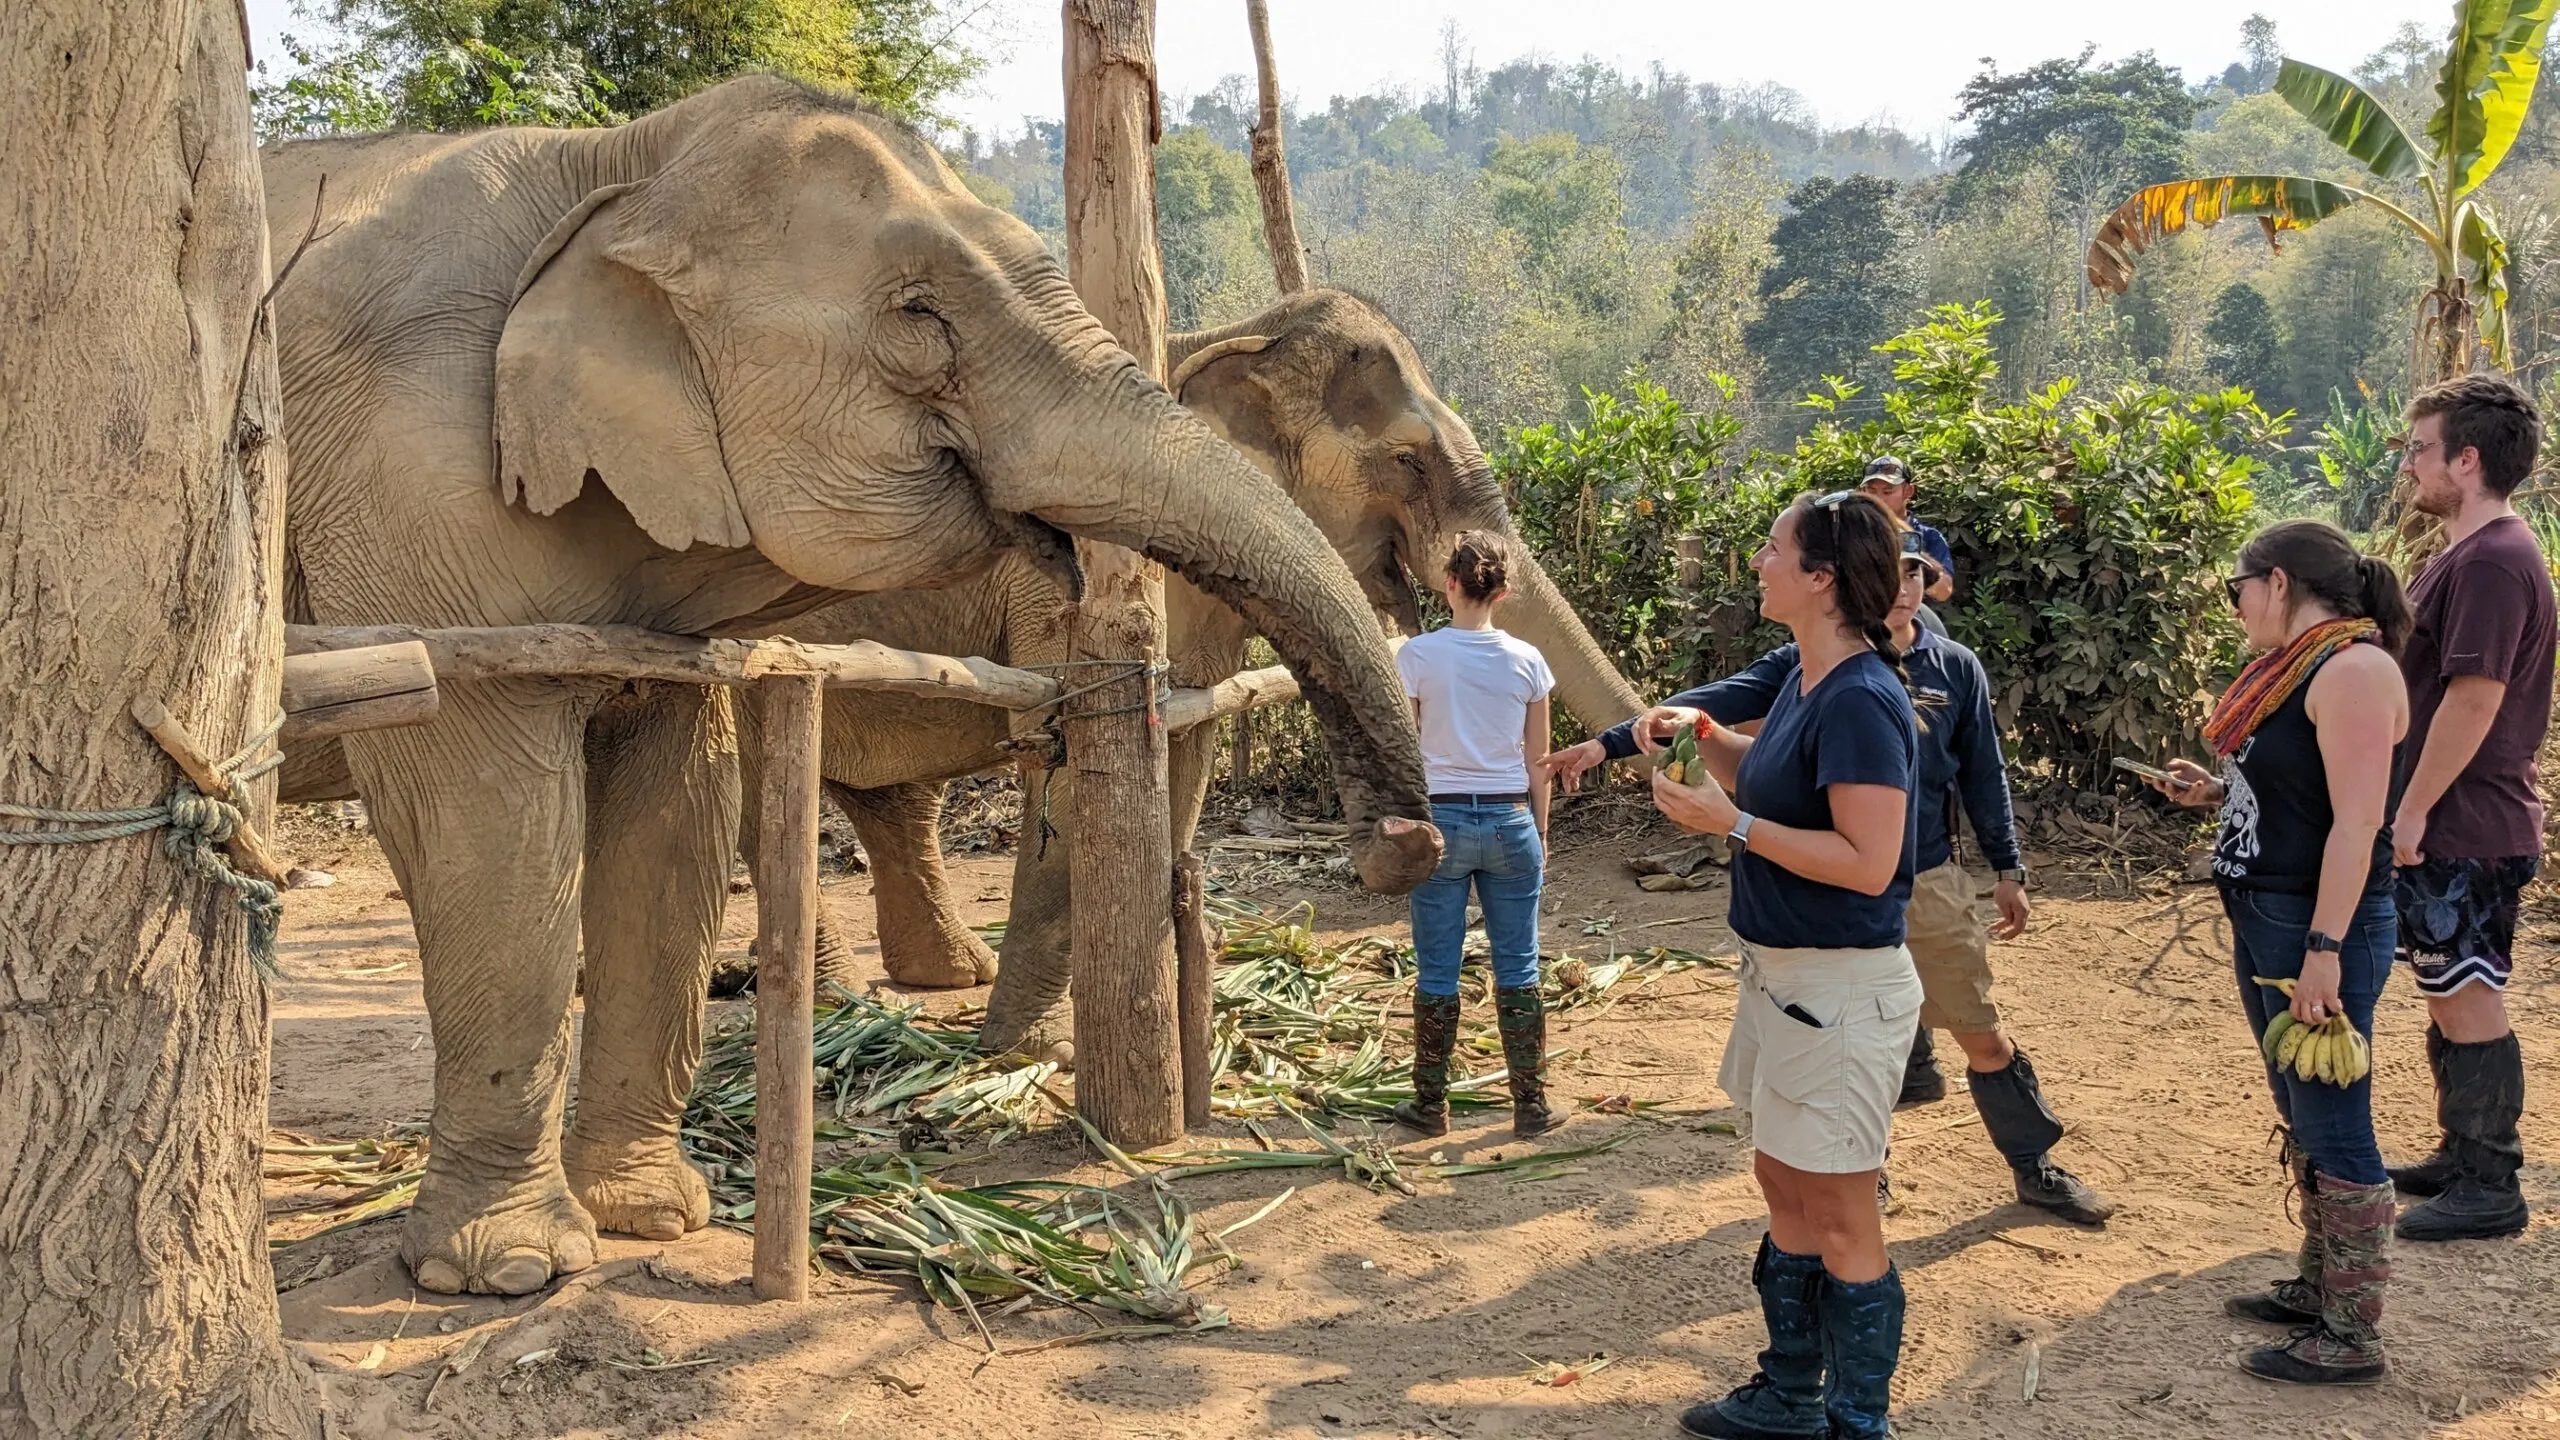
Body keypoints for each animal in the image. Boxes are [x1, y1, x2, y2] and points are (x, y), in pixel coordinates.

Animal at [277, 75, 1454, 1291]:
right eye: (919, 320)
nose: (1401, 843)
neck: (614, 163)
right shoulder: (411, 494)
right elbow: (490, 813)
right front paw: (510, 1271)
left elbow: (673, 811)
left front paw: (652, 1216)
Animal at [742, 285, 1648, 1040]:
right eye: (1406, 460)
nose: (1398, 840)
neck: (1229, 336)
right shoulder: (1064, 581)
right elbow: (1063, 766)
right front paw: (1028, 1051)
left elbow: (1185, 754)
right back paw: (831, 1007)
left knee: (893, 799)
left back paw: (943, 977)